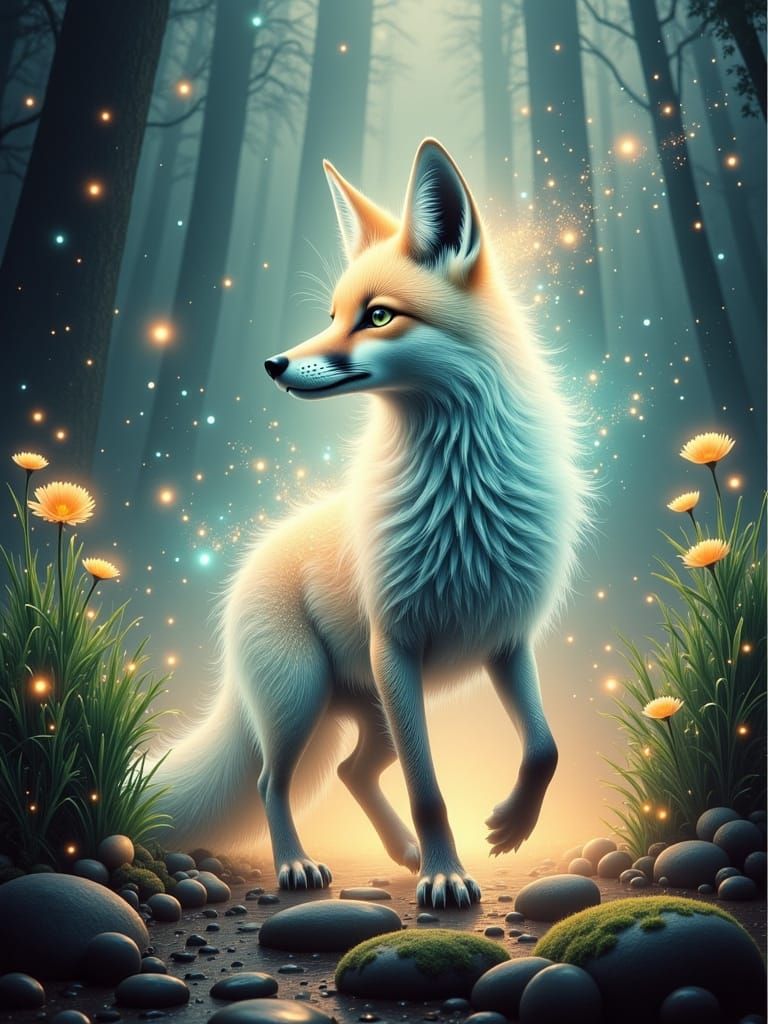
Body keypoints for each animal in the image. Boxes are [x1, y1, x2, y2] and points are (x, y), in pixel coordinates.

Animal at [154, 139, 590, 908]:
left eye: (379, 316)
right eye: (332, 314)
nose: (273, 364)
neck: (461, 498)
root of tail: (245, 573)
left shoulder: (507, 641)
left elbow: (544, 749)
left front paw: (507, 828)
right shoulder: (397, 646)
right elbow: (430, 790)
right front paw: (447, 876)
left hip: (377, 710)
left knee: (352, 771)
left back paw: (402, 853)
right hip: (304, 700)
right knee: (271, 781)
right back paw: (300, 866)